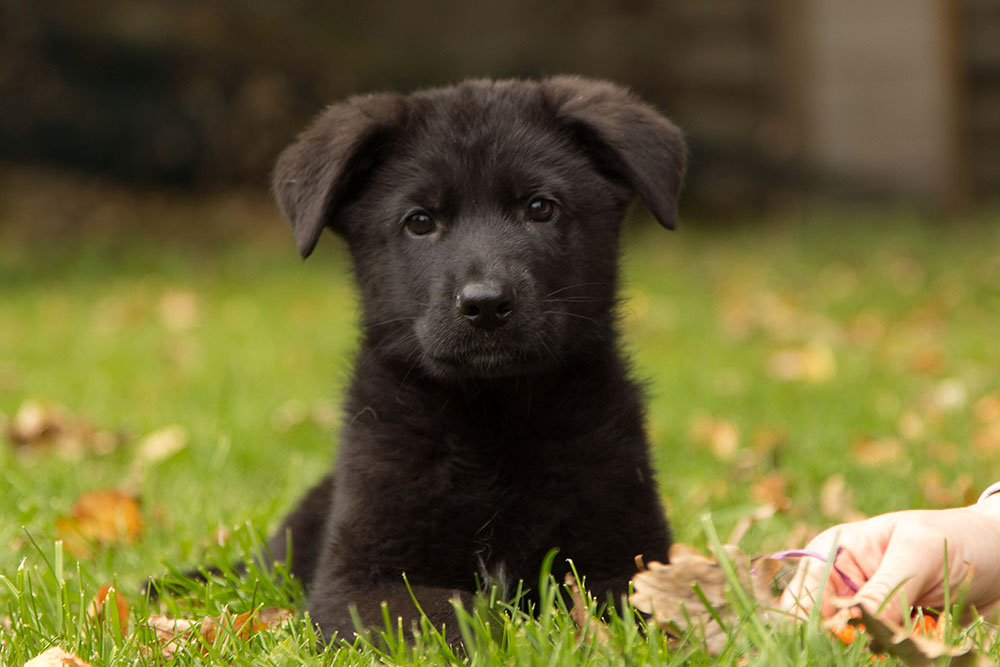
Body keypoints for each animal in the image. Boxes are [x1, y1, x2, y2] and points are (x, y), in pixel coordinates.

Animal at [270, 75, 684, 640]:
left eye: (540, 208)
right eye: (420, 221)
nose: (486, 304)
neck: (493, 417)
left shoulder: (626, 557)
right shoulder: (355, 583)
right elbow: (451, 611)